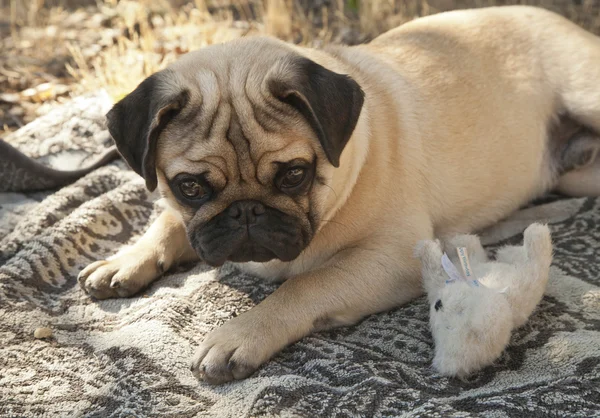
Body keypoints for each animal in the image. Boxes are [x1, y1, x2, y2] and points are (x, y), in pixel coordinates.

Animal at [77, 5, 600, 386]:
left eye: (294, 176)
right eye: (190, 187)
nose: (246, 212)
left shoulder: (393, 257)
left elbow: (304, 285)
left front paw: (239, 334)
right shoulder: (187, 216)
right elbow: (167, 223)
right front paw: (126, 259)